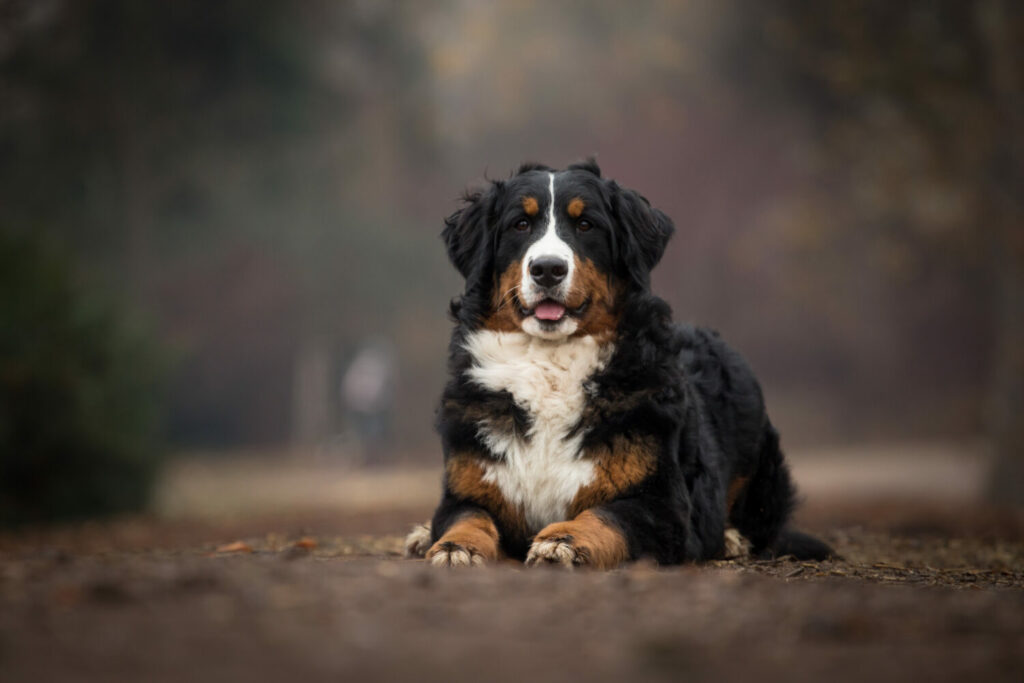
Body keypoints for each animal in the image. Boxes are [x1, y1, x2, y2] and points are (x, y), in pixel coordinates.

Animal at [401, 158, 831, 565]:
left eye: (586, 224)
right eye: (520, 224)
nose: (547, 269)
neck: (550, 362)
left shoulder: (659, 504)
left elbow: (605, 517)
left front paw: (563, 541)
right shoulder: (470, 485)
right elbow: (467, 517)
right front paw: (455, 546)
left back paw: (731, 539)